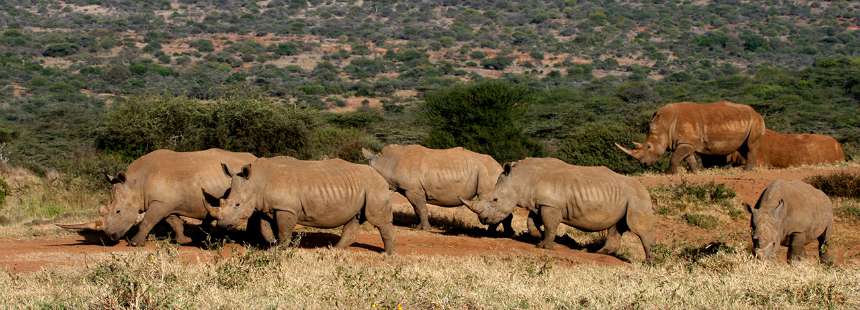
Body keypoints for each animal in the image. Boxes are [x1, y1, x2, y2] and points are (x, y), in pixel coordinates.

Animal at [203, 157, 394, 254]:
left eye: (237, 204)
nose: (222, 225)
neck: (256, 181)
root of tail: (381, 176)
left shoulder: (286, 208)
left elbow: (284, 231)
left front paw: (279, 249)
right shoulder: (265, 206)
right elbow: (265, 228)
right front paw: (271, 245)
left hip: (374, 187)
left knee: (378, 220)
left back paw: (387, 255)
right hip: (360, 187)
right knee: (353, 219)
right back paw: (332, 250)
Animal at [464, 157, 660, 262]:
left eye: (495, 199)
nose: (483, 220)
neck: (521, 179)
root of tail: (645, 189)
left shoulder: (551, 205)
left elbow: (550, 225)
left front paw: (545, 247)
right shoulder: (542, 203)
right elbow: (531, 221)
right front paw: (536, 238)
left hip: (637, 197)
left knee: (637, 228)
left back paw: (648, 263)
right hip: (624, 198)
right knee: (616, 226)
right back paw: (597, 253)